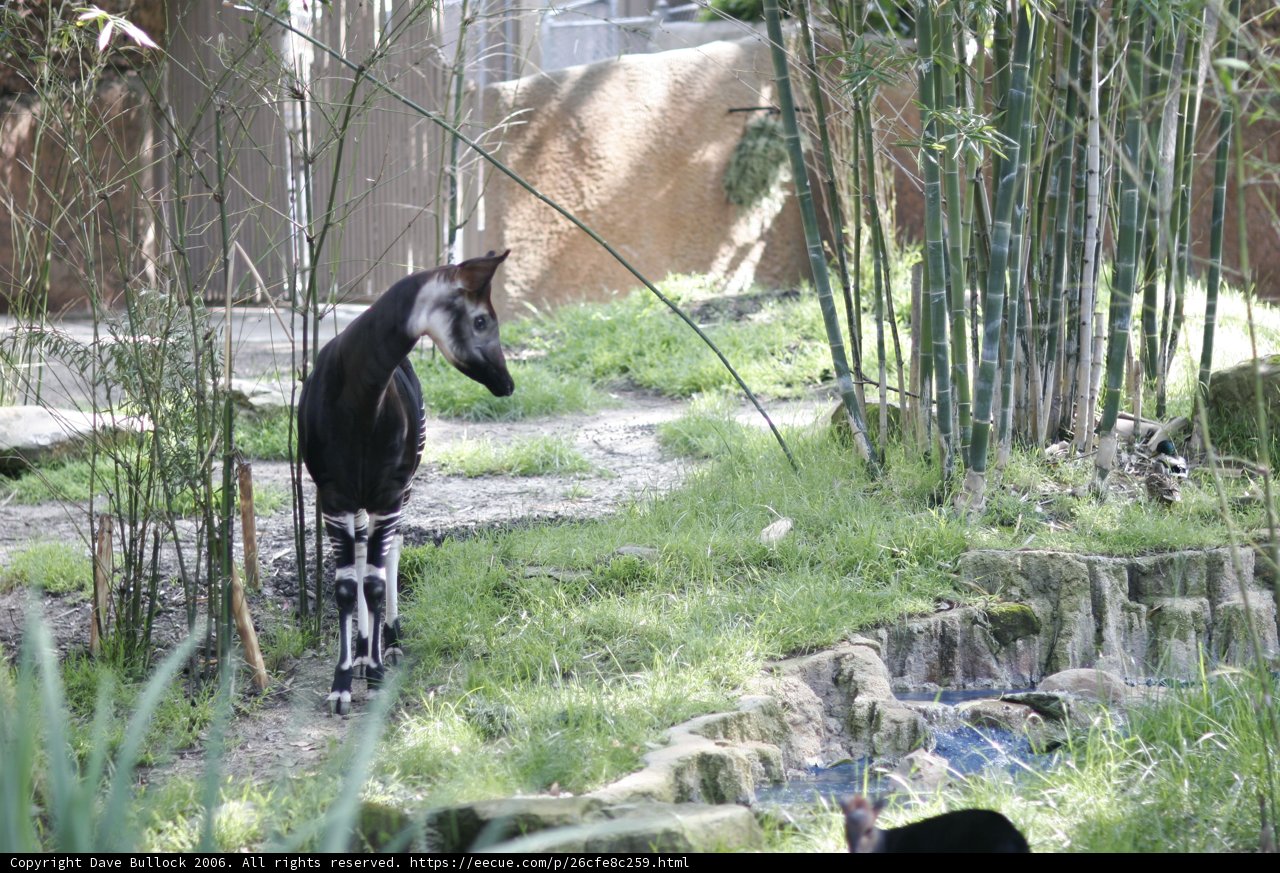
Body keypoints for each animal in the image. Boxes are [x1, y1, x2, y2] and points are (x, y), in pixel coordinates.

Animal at [298, 251, 513, 715]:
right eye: (482, 320)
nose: (508, 384)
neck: (360, 398)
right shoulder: (334, 496)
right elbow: (347, 587)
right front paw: (343, 682)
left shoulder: (389, 493)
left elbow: (376, 582)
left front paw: (377, 673)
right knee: (367, 551)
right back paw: (364, 651)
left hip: (405, 485)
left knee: (392, 551)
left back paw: (389, 644)